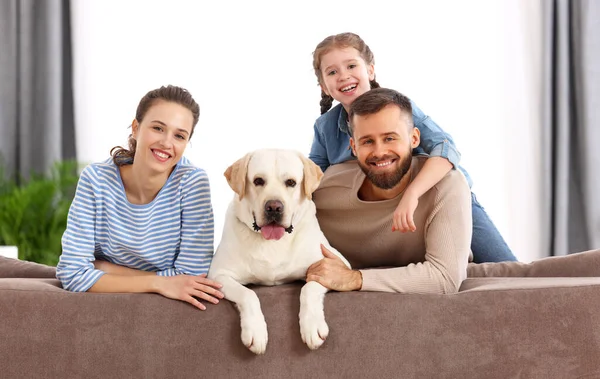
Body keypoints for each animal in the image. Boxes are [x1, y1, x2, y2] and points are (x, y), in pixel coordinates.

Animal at [207, 149, 352, 356]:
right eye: (258, 180)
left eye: (291, 182)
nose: (274, 207)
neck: (272, 243)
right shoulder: (218, 275)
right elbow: (248, 294)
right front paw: (256, 331)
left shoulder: (336, 264)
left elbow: (309, 288)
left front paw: (312, 326)